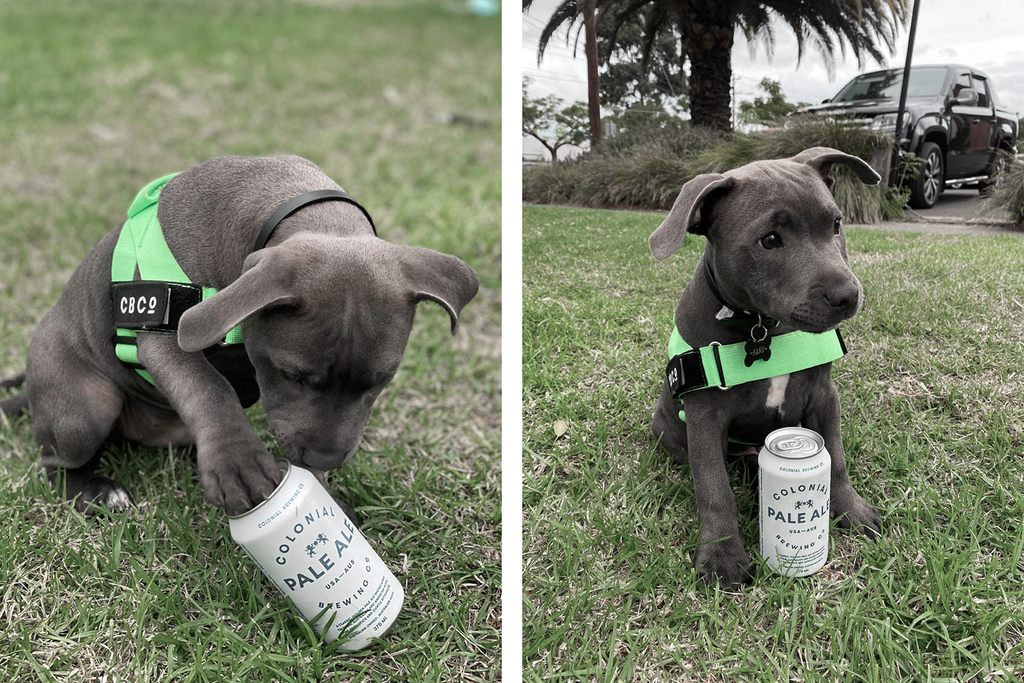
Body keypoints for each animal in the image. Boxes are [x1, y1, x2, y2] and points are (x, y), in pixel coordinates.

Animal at [0, 156, 479, 518]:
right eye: (292, 375)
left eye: (381, 382)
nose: (324, 460)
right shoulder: (162, 334)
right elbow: (209, 387)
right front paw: (238, 462)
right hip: (84, 410)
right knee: (54, 461)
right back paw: (95, 490)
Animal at [651, 145, 884, 589]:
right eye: (769, 240)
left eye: (836, 224)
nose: (847, 295)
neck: (763, 329)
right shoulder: (704, 417)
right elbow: (714, 488)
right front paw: (722, 555)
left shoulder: (824, 397)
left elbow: (836, 459)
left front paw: (852, 510)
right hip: (667, 426)